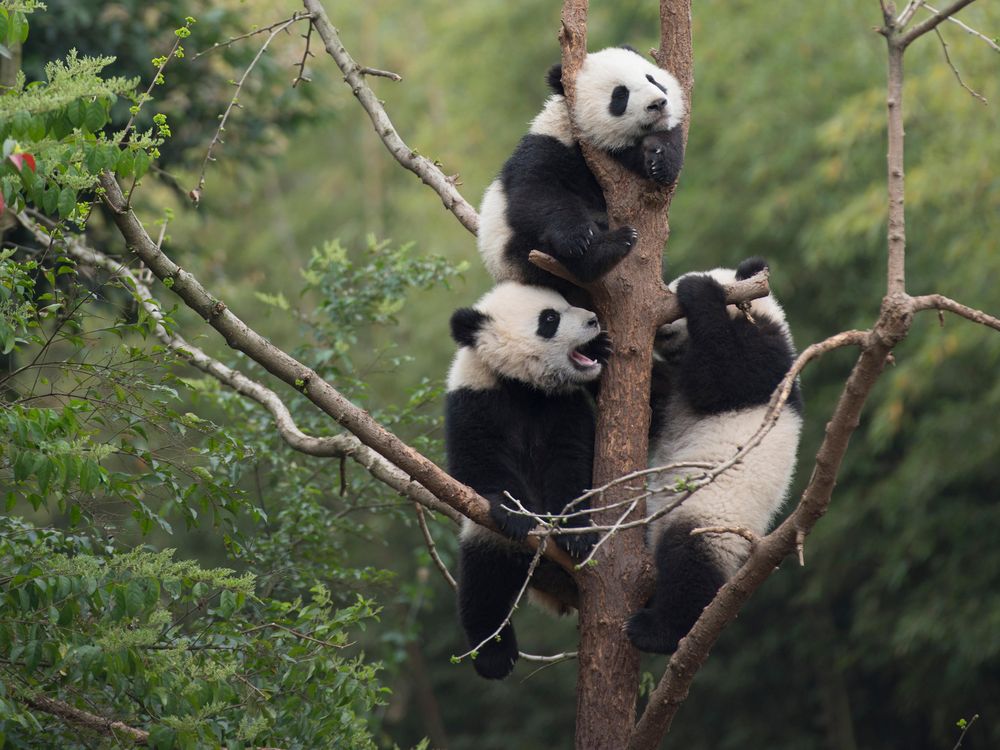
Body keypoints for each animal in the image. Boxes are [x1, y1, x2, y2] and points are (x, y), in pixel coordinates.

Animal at [448, 282, 608, 680]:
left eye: (569, 303)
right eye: (549, 319)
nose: (593, 319)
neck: (522, 384)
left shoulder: (564, 404)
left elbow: (572, 460)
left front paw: (575, 534)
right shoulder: (474, 398)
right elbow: (479, 463)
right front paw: (518, 515)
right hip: (487, 539)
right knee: (483, 583)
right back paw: (494, 656)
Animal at [478, 45, 688, 298]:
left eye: (652, 79)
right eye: (620, 95)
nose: (658, 104)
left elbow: (664, 143)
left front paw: (660, 160)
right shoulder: (549, 146)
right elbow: (536, 193)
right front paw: (578, 237)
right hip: (515, 251)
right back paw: (610, 246)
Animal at [624, 260, 804, 656]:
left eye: (673, 305)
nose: (661, 333)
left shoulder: (772, 360)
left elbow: (722, 377)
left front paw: (699, 290)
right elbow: (657, 409)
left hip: (712, 516)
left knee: (689, 560)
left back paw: (659, 632)